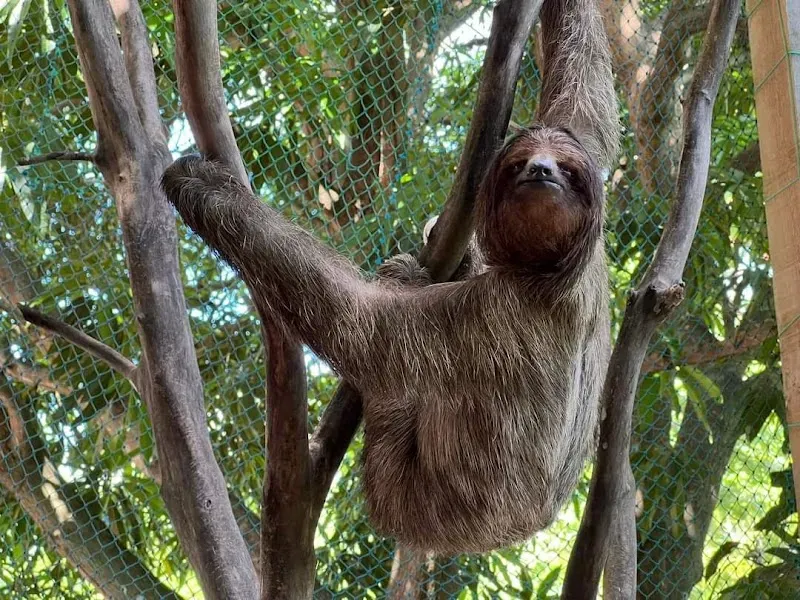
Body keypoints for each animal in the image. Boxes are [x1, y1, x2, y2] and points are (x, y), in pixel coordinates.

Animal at [160, 0, 618, 555]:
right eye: (519, 164)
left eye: (568, 174)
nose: (542, 172)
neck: (549, 271)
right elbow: (586, 102)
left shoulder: (491, 314)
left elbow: (364, 324)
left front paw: (200, 185)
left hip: (408, 497)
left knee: (390, 403)